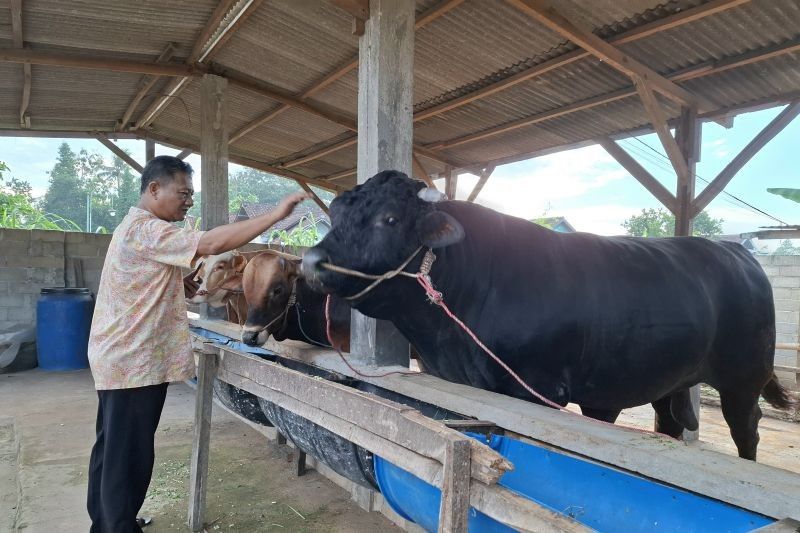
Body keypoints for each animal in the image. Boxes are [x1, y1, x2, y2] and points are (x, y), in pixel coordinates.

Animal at [302, 169, 792, 458]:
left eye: (388, 219)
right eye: (337, 212)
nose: (310, 261)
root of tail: (736, 251)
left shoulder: (535, 390)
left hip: (744, 378)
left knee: (747, 431)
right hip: (668, 377)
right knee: (671, 423)